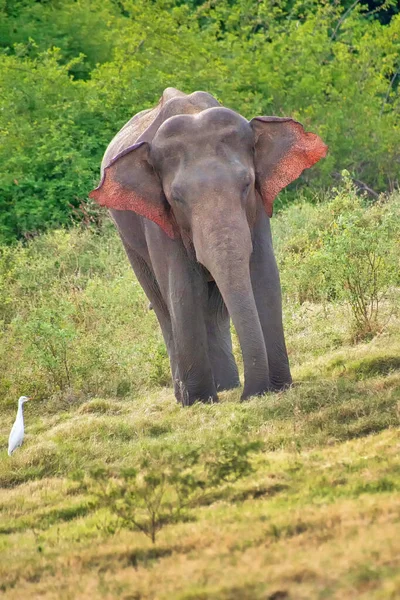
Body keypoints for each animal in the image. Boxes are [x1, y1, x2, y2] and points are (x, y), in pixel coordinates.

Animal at [89, 86, 326, 406]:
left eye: (247, 184)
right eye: (176, 198)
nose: (252, 394)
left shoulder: (258, 207)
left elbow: (263, 275)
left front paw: (280, 387)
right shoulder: (159, 219)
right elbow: (182, 287)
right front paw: (200, 401)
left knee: (213, 308)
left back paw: (226, 386)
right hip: (128, 238)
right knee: (163, 305)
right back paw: (187, 396)